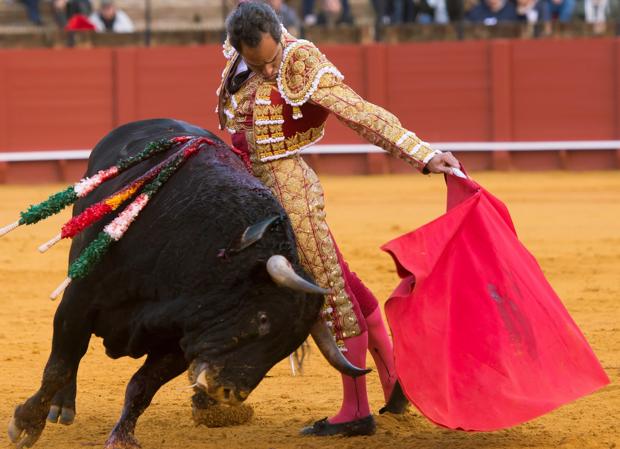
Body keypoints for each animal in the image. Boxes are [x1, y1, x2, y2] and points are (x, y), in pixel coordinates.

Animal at [7, 119, 368, 448]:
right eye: (263, 319)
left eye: (287, 347)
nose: (228, 393)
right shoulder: (79, 301)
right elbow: (60, 366)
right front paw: (26, 424)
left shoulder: (182, 339)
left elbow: (142, 386)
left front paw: (122, 438)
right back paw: (61, 407)